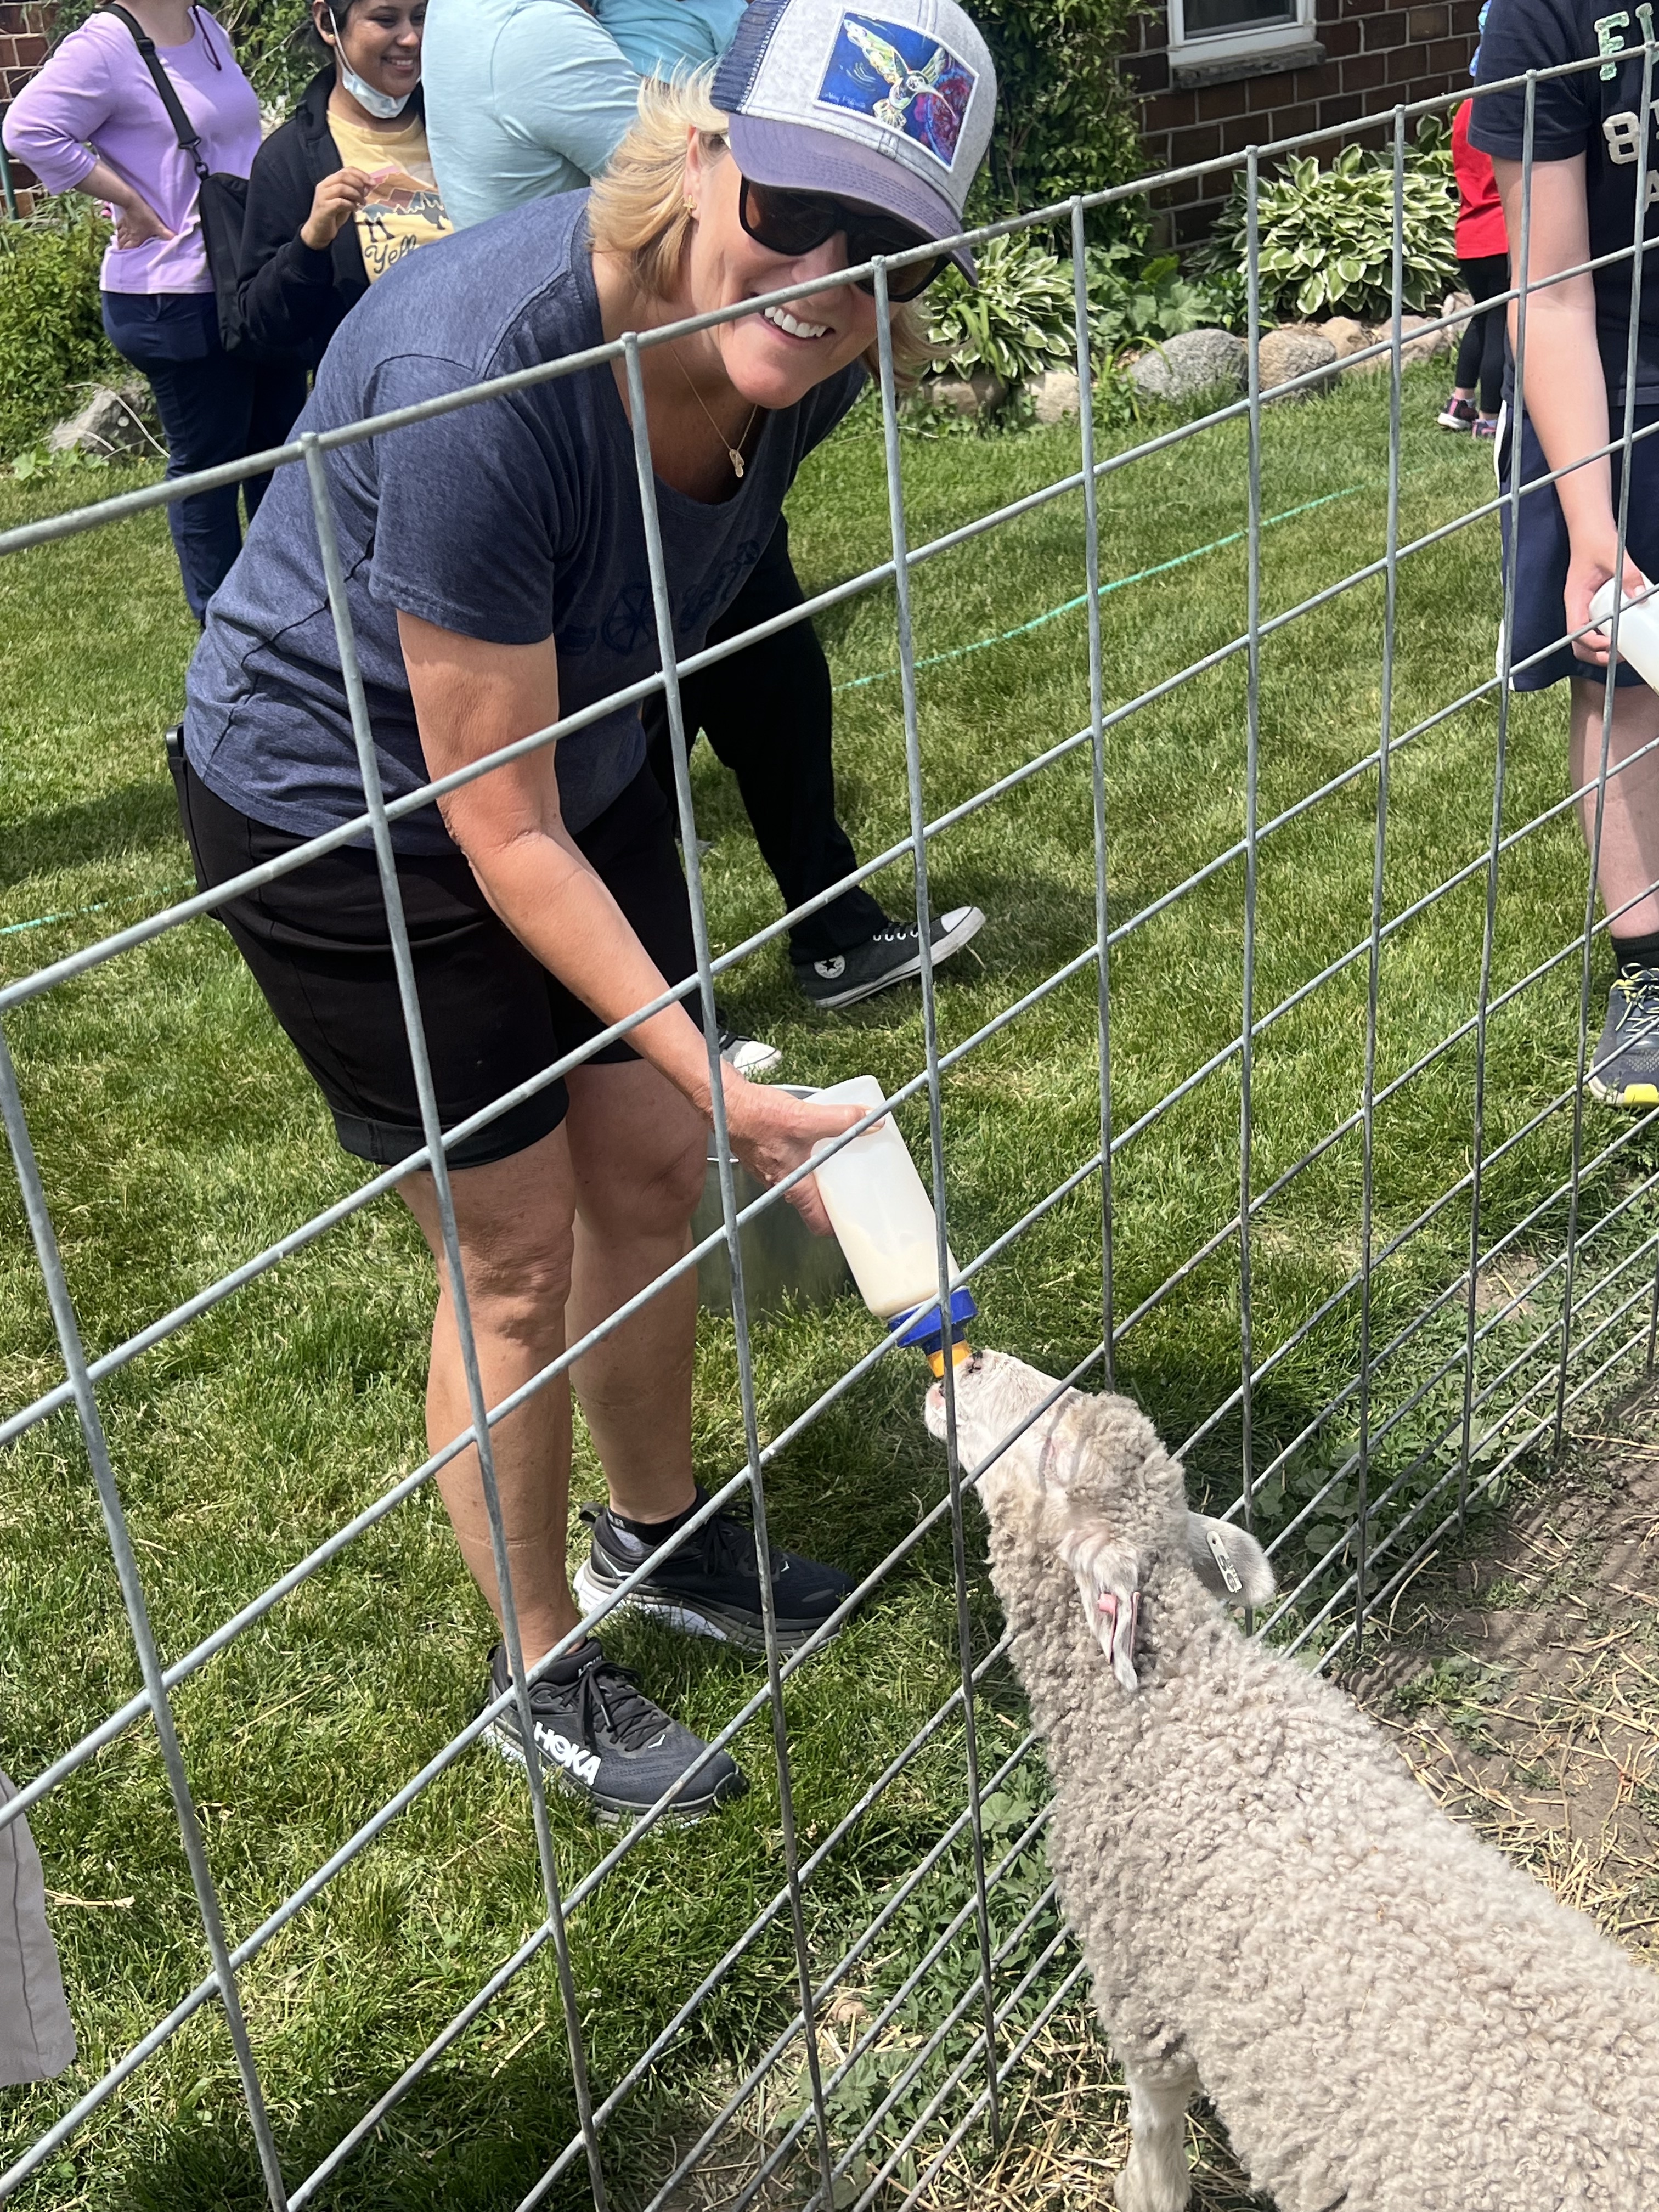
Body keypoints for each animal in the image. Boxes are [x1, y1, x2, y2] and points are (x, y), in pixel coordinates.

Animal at [924, 1349, 1659, 2212]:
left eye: (1055, 1456)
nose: (966, 1359)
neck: (1189, 1711)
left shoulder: (1141, 1982)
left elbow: (1154, 2117)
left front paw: (1145, 2188)